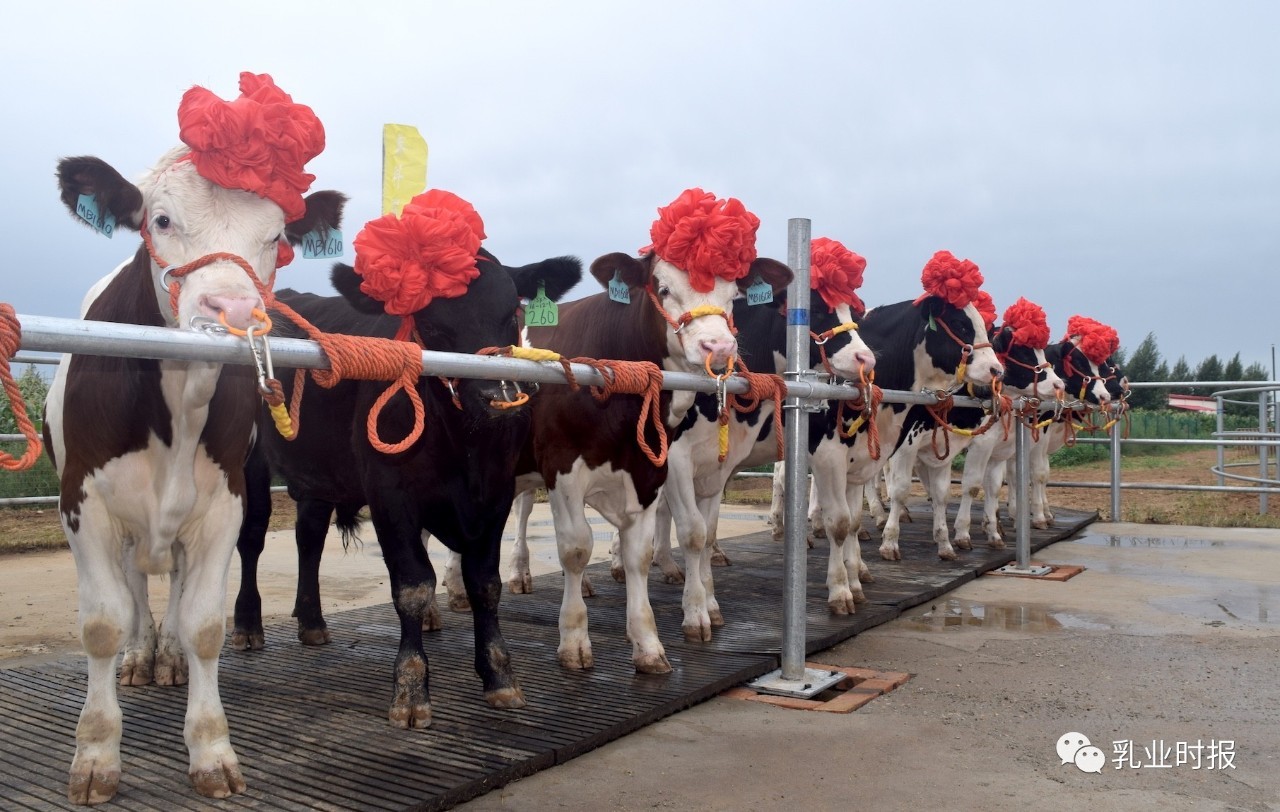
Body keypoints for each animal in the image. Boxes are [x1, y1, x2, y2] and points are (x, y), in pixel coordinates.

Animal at [42, 71, 335, 804]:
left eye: (277, 235)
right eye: (161, 220)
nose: (231, 310)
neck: (178, 402)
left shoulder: (224, 503)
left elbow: (204, 623)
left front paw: (211, 748)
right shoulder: (83, 503)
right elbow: (103, 622)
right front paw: (96, 755)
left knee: (169, 585)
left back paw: (167, 656)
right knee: (133, 590)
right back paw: (143, 656)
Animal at [232, 188, 583, 727]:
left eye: (513, 313)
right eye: (432, 324)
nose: (497, 396)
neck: (465, 447)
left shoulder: (497, 493)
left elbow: (486, 584)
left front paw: (499, 675)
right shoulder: (390, 493)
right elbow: (414, 585)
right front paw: (412, 688)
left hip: (319, 475)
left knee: (309, 539)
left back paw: (312, 621)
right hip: (252, 462)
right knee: (252, 538)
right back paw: (248, 624)